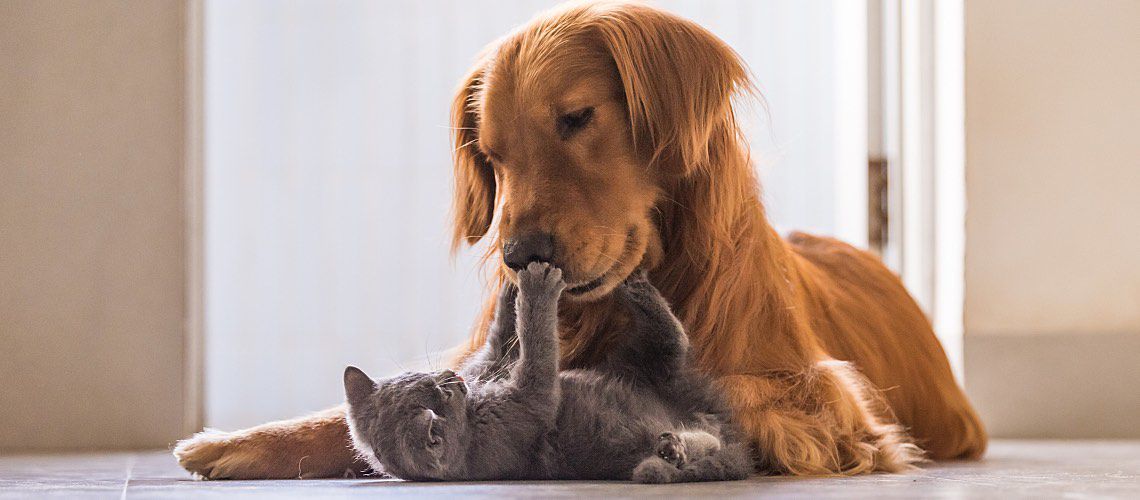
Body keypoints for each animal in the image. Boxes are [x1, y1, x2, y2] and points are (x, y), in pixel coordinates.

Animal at [342, 264, 752, 482]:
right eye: (440, 397)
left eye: (429, 380)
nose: (452, 380)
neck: (474, 414)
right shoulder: (521, 410)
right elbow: (537, 350)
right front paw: (536, 286)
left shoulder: (489, 367)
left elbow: (500, 340)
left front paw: (510, 284)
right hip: (658, 374)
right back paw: (672, 448)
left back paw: (634, 285)